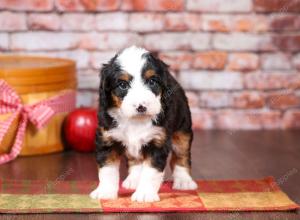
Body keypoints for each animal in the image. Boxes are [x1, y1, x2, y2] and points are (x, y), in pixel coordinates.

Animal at [89, 46, 197, 203]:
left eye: (152, 81)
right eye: (123, 85)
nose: (141, 107)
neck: (135, 120)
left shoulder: (157, 142)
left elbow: (150, 173)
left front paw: (145, 194)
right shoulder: (107, 139)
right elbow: (107, 170)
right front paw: (105, 192)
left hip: (182, 130)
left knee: (181, 155)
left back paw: (184, 181)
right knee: (135, 159)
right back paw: (133, 180)